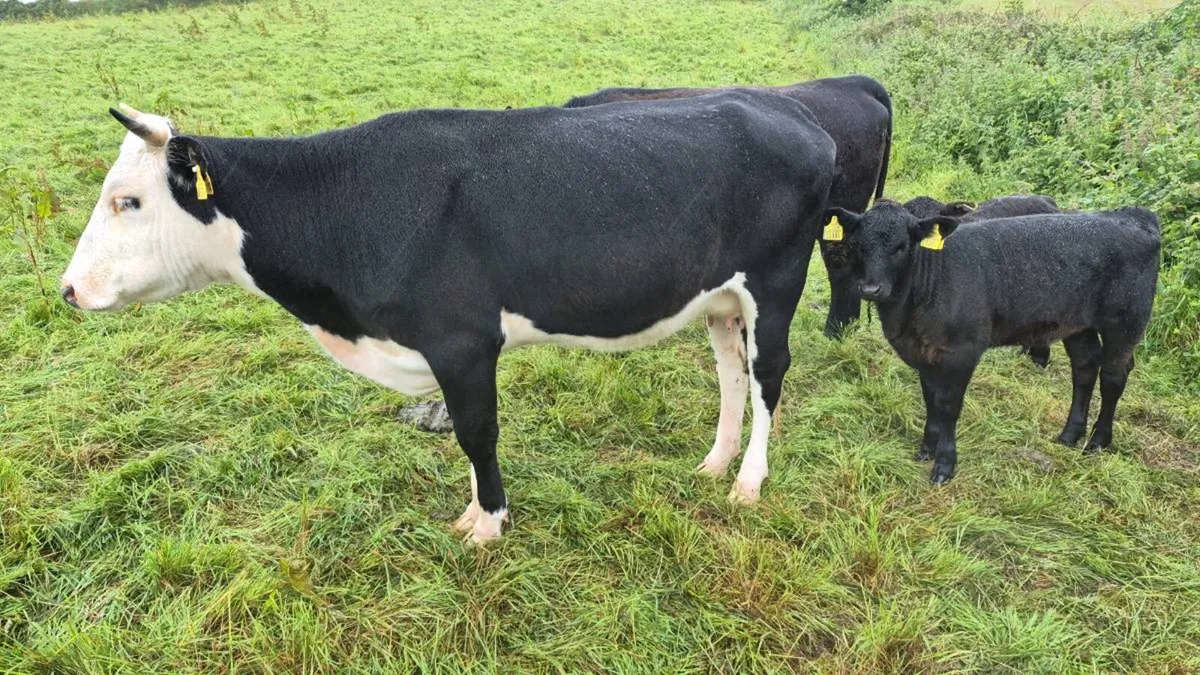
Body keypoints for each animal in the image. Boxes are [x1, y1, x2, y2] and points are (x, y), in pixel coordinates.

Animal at [60, 94, 837, 543]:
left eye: (128, 200)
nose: (67, 289)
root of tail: (796, 115)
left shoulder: (461, 340)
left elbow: (476, 434)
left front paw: (488, 524)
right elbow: (466, 438)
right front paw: (476, 511)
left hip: (777, 283)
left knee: (768, 376)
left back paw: (748, 482)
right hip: (720, 298)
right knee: (730, 373)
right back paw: (714, 462)